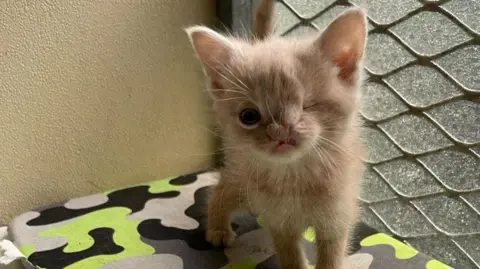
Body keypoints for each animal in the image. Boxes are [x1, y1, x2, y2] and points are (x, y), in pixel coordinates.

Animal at [186, 1, 366, 266]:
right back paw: (218, 228)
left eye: (307, 105)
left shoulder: (337, 216)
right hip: (242, 177)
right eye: (248, 116)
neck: (295, 176)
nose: (280, 131)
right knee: (221, 189)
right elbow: (291, 256)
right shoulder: (280, 222)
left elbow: (331, 256)